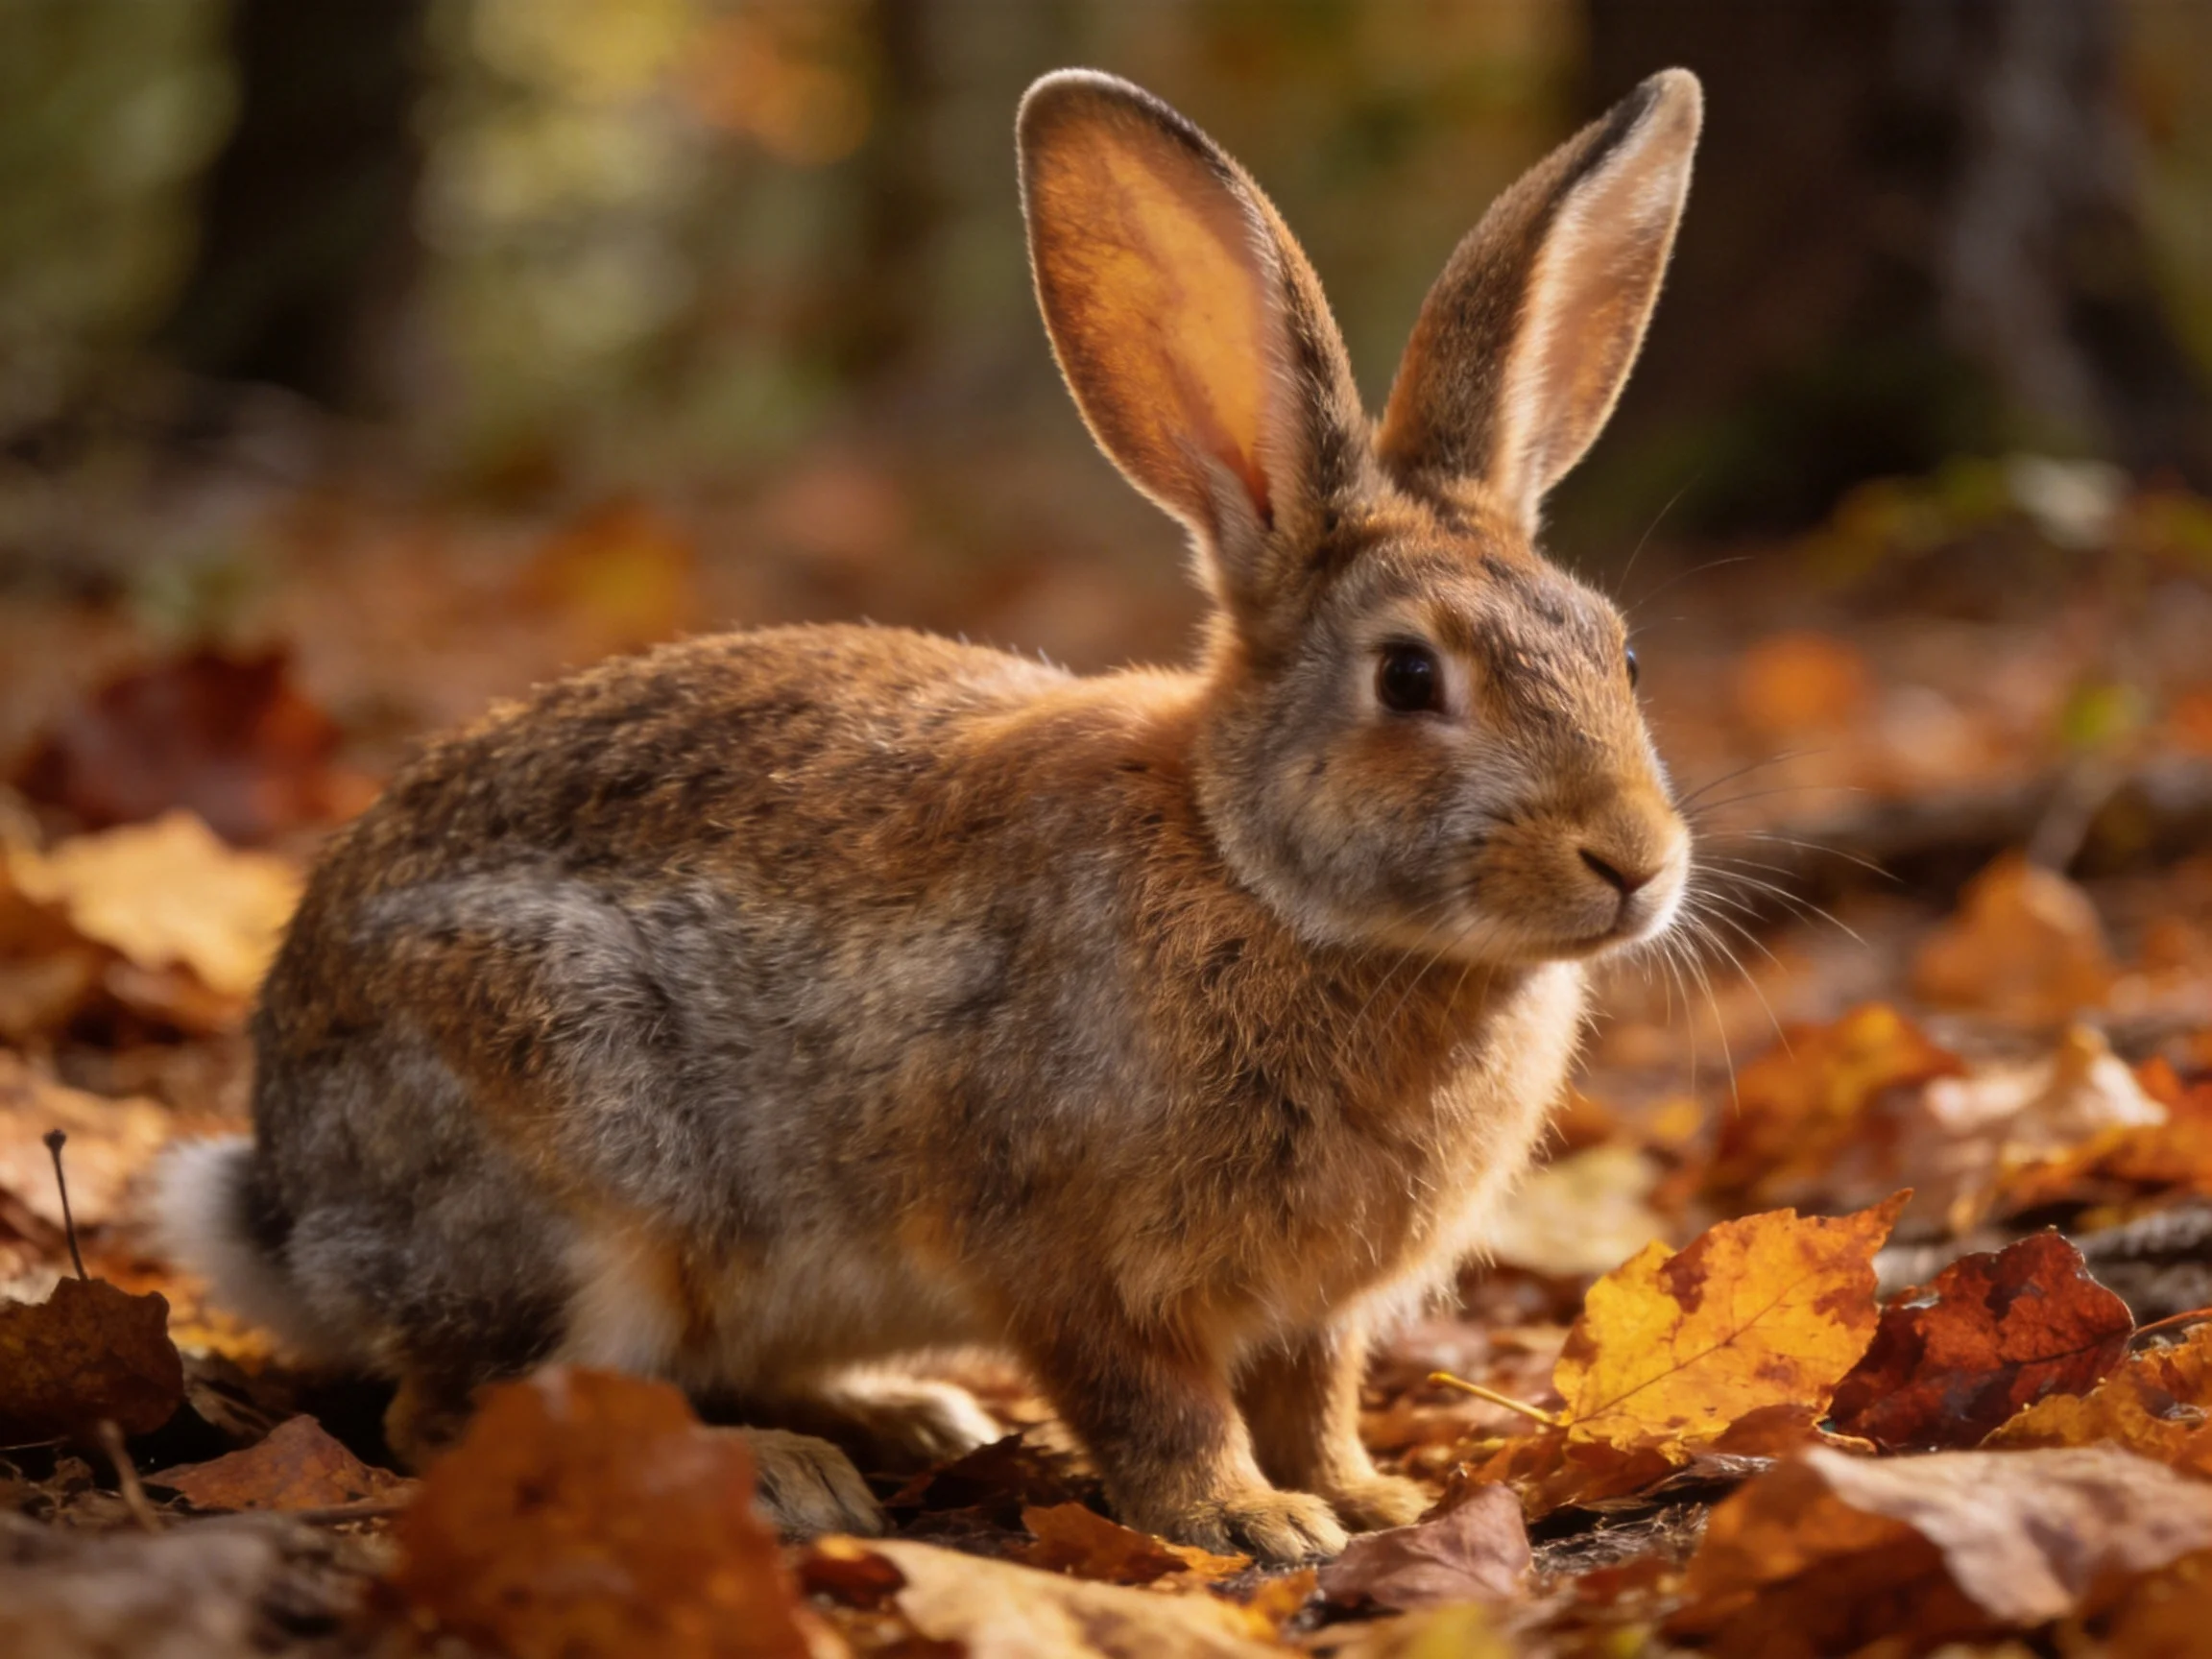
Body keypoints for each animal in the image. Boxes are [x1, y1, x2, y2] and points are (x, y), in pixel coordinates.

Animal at [154, 65, 1701, 1563]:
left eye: (1624, 655)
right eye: (1409, 677)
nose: (1633, 862)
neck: (1253, 873)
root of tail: (287, 1209)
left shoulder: (1313, 1314)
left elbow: (1312, 1398)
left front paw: (1369, 1499)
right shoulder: (1073, 1259)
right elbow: (1156, 1404)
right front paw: (1245, 1521)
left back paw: (903, 1418)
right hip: (572, 1165)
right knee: (465, 1407)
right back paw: (779, 1475)